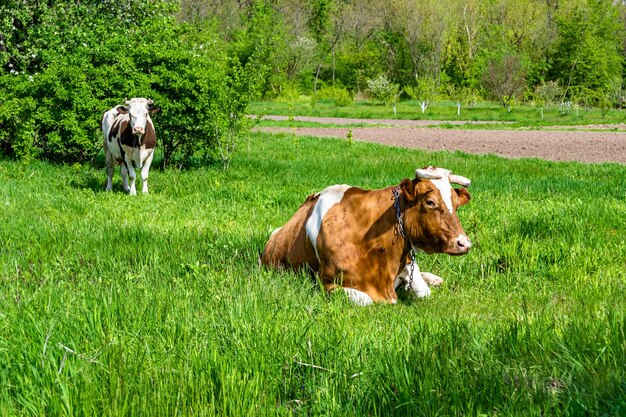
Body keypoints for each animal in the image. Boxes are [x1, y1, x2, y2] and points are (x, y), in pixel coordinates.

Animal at [260, 167, 470, 306]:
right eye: (430, 202)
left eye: (456, 205)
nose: (464, 243)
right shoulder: (326, 283)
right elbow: (366, 299)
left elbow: (423, 291)